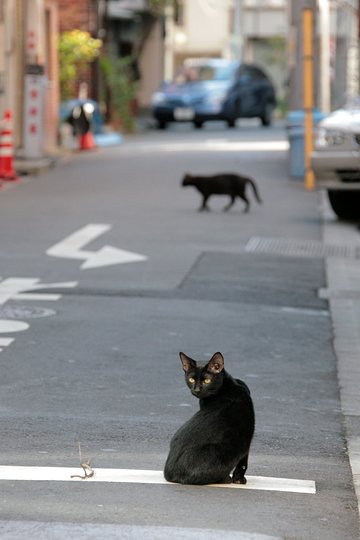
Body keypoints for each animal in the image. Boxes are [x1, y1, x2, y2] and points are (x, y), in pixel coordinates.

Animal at [165, 352, 255, 488]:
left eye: (207, 380)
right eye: (191, 379)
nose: (196, 389)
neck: (229, 385)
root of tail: (170, 474)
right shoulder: (246, 438)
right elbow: (244, 462)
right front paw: (239, 479)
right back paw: (226, 478)